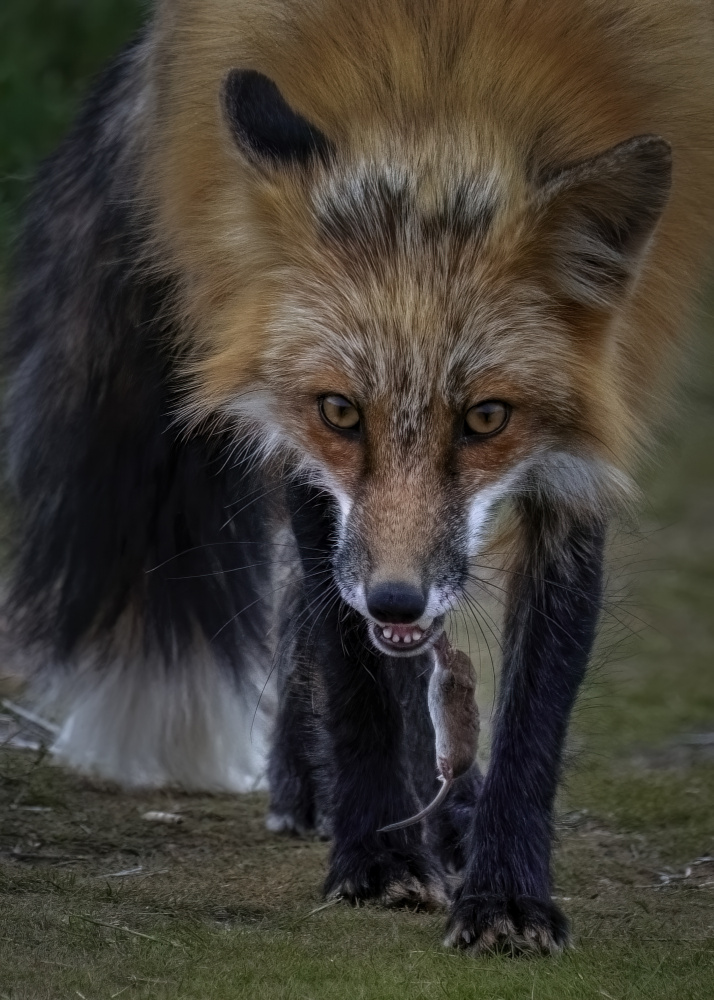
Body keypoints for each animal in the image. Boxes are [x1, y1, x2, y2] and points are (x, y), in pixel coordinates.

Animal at [3, 0, 714, 955]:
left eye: (486, 418)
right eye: (341, 411)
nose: (397, 599)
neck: (446, 88)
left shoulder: (581, 448)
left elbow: (539, 700)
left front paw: (506, 891)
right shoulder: (311, 452)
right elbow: (357, 666)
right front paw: (377, 851)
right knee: (311, 606)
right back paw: (327, 791)